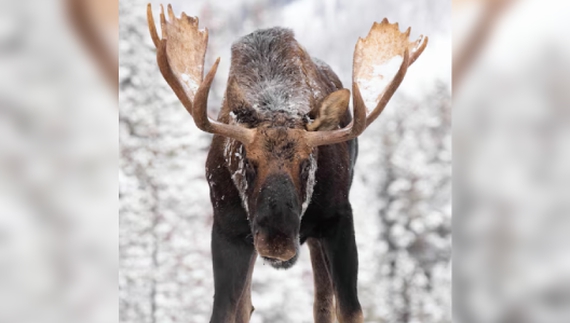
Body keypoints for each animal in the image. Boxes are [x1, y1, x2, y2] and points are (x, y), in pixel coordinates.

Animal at [144, 3, 424, 323]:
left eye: (306, 164)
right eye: (248, 162)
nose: (276, 241)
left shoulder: (339, 218)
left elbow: (350, 310)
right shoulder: (226, 230)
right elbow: (225, 312)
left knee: (322, 302)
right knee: (248, 304)